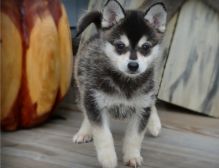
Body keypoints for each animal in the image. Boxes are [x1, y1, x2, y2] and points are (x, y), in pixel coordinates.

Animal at [72, 0, 167, 167]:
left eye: (146, 47)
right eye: (120, 46)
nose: (133, 65)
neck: (125, 82)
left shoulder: (142, 108)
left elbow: (134, 137)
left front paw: (132, 156)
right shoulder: (95, 102)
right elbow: (103, 135)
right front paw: (108, 159)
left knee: (152, 102)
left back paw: (154, 124)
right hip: (83, 89)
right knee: (86, 113)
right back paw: (84, 132)